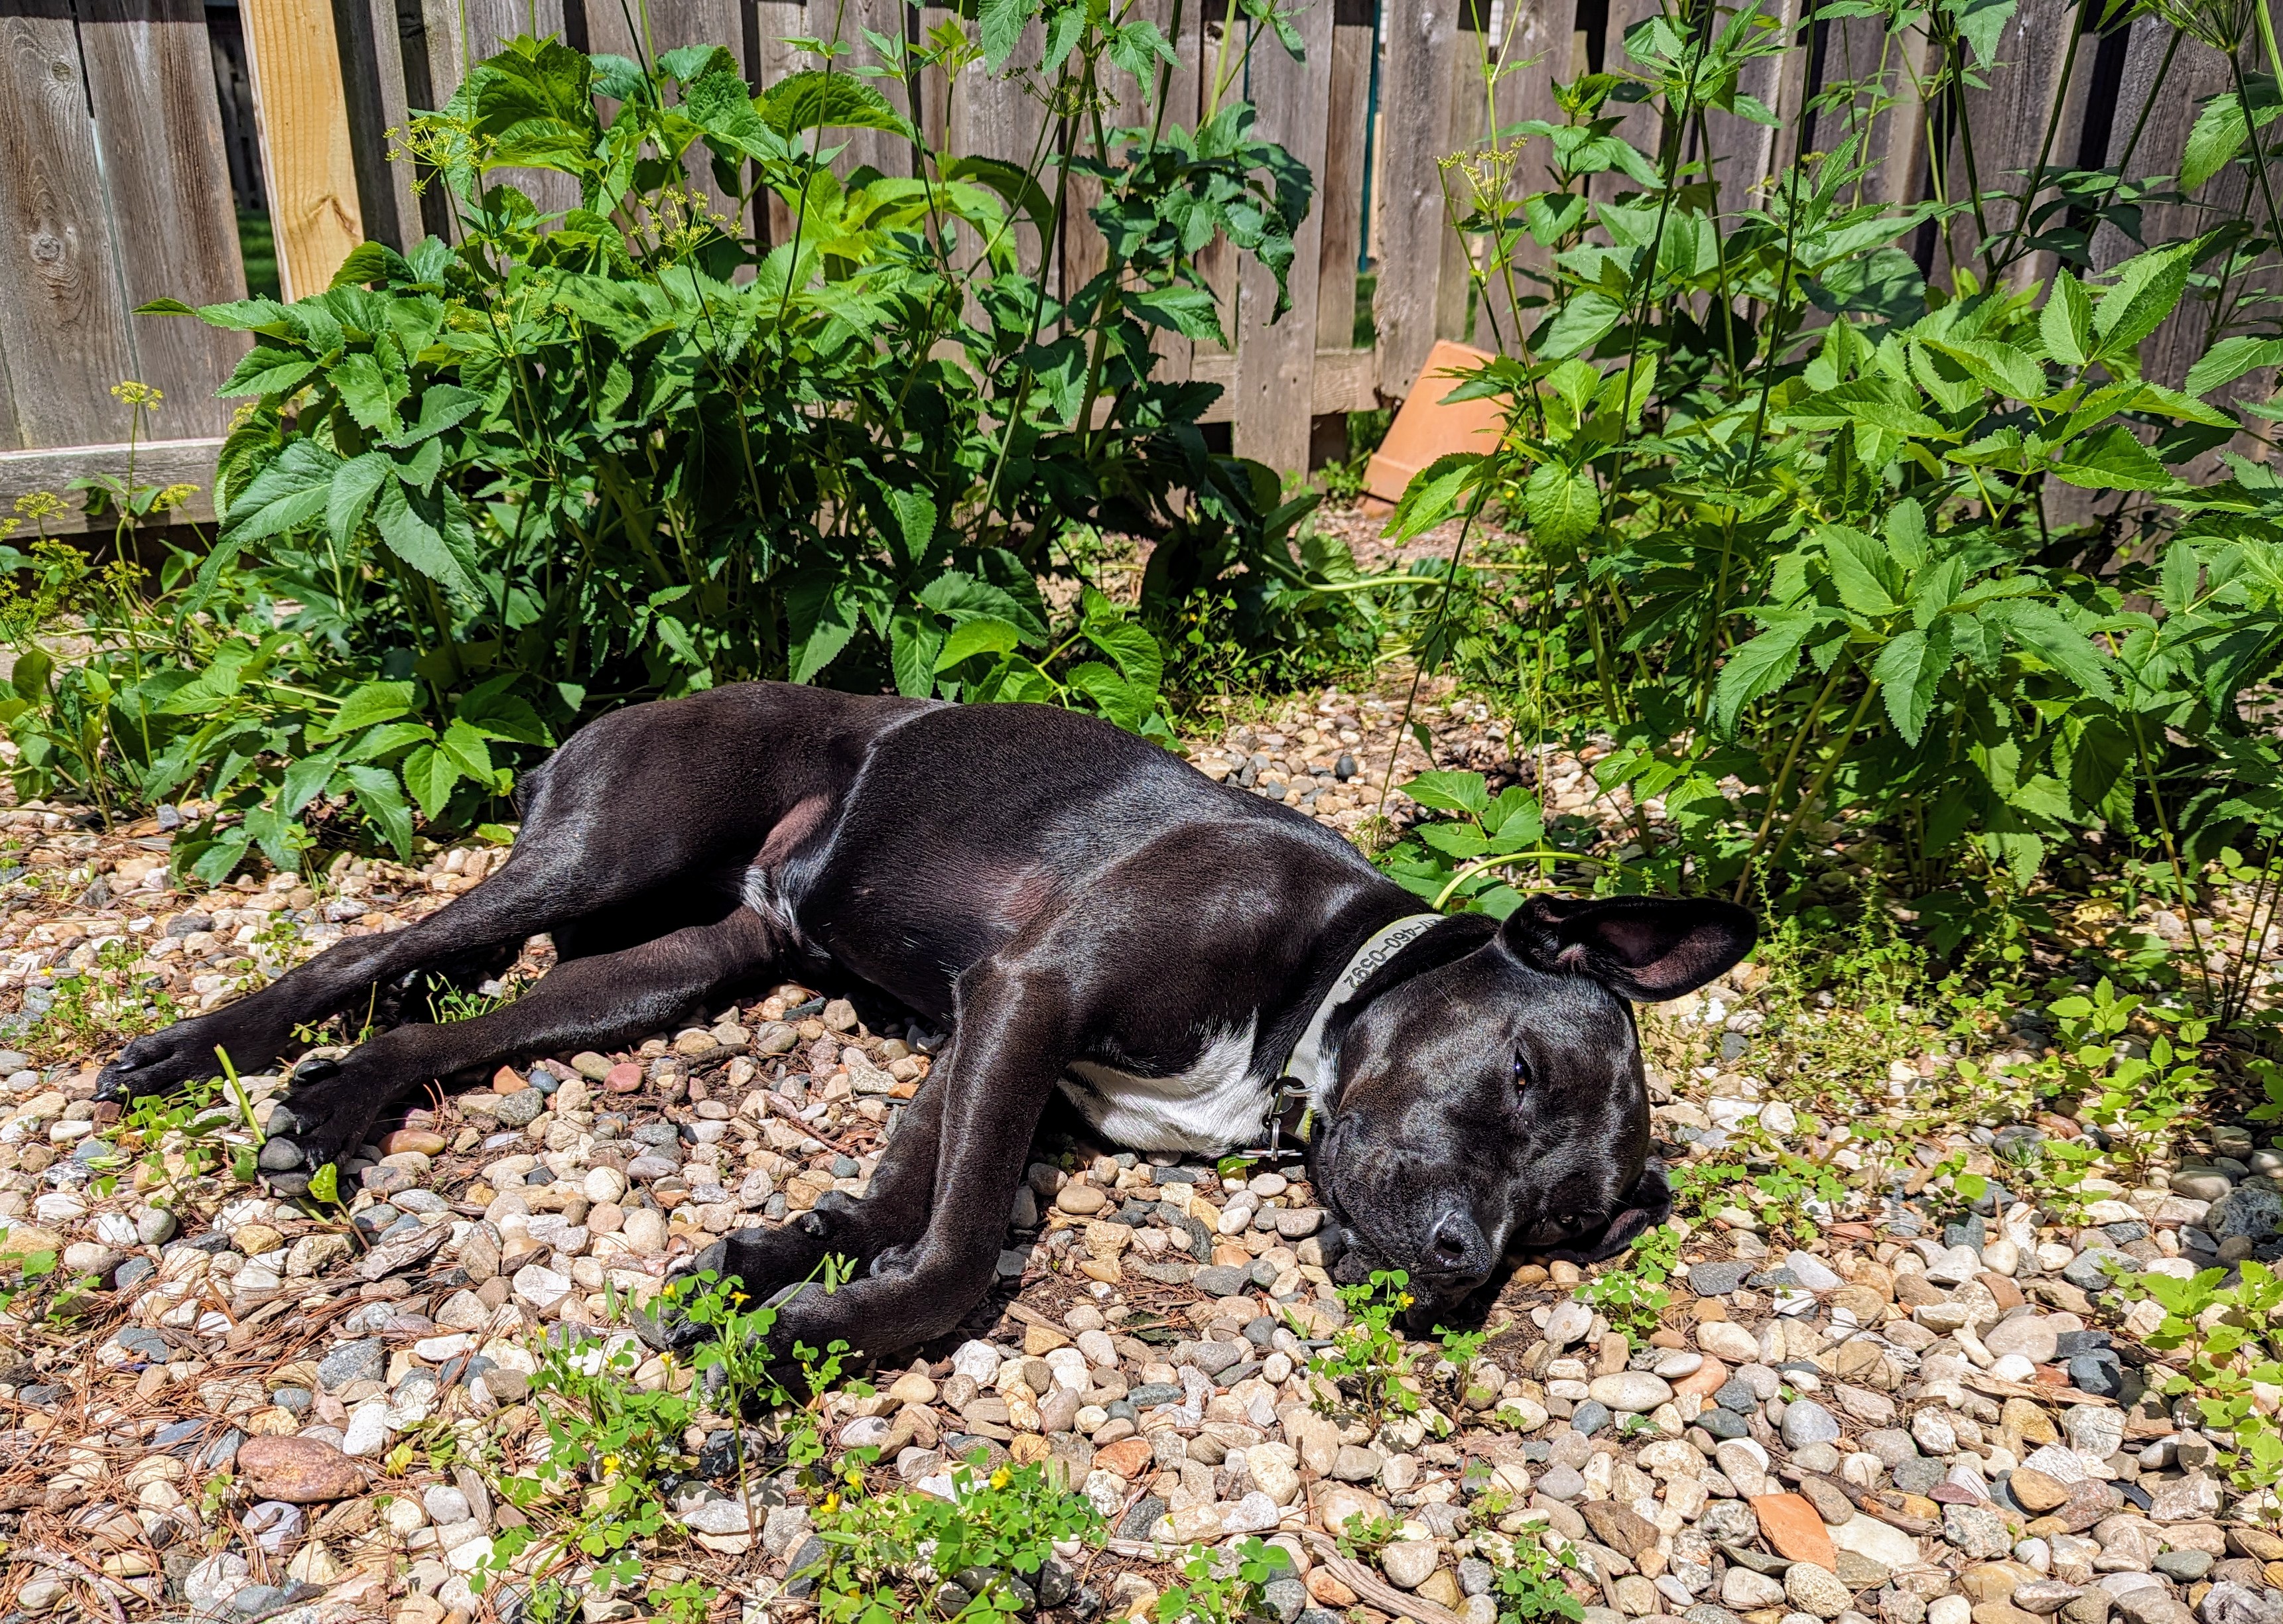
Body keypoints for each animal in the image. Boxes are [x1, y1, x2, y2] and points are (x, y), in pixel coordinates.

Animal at [98, 683, 1754, 1356]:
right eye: (1519, 1068)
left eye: (1572, 1228)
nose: (1466, 1269)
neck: (1322, 988)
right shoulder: (1026, 997)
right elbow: (959, 1251)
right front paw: (818, 1339)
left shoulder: (980, 1031)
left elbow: (901, 1192)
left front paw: (774, 1268)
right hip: (607, 852)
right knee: (374, 944)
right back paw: (201, 1053)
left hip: (674, 970)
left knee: (455, 1027)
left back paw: (337, 1105)